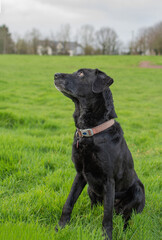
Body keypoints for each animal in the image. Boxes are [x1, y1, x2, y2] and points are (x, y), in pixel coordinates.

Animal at [53, 68, 145, 240]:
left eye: (81, 74)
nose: (55, 75)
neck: (90, 132)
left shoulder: (109, 180)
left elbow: (107, 216)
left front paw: (106, 236)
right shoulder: (80, 174)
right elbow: (68, 203)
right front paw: (60, 228)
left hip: (137, 190)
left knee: (127, 216)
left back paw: (126, 230)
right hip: (91, 188)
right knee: (95, 207)